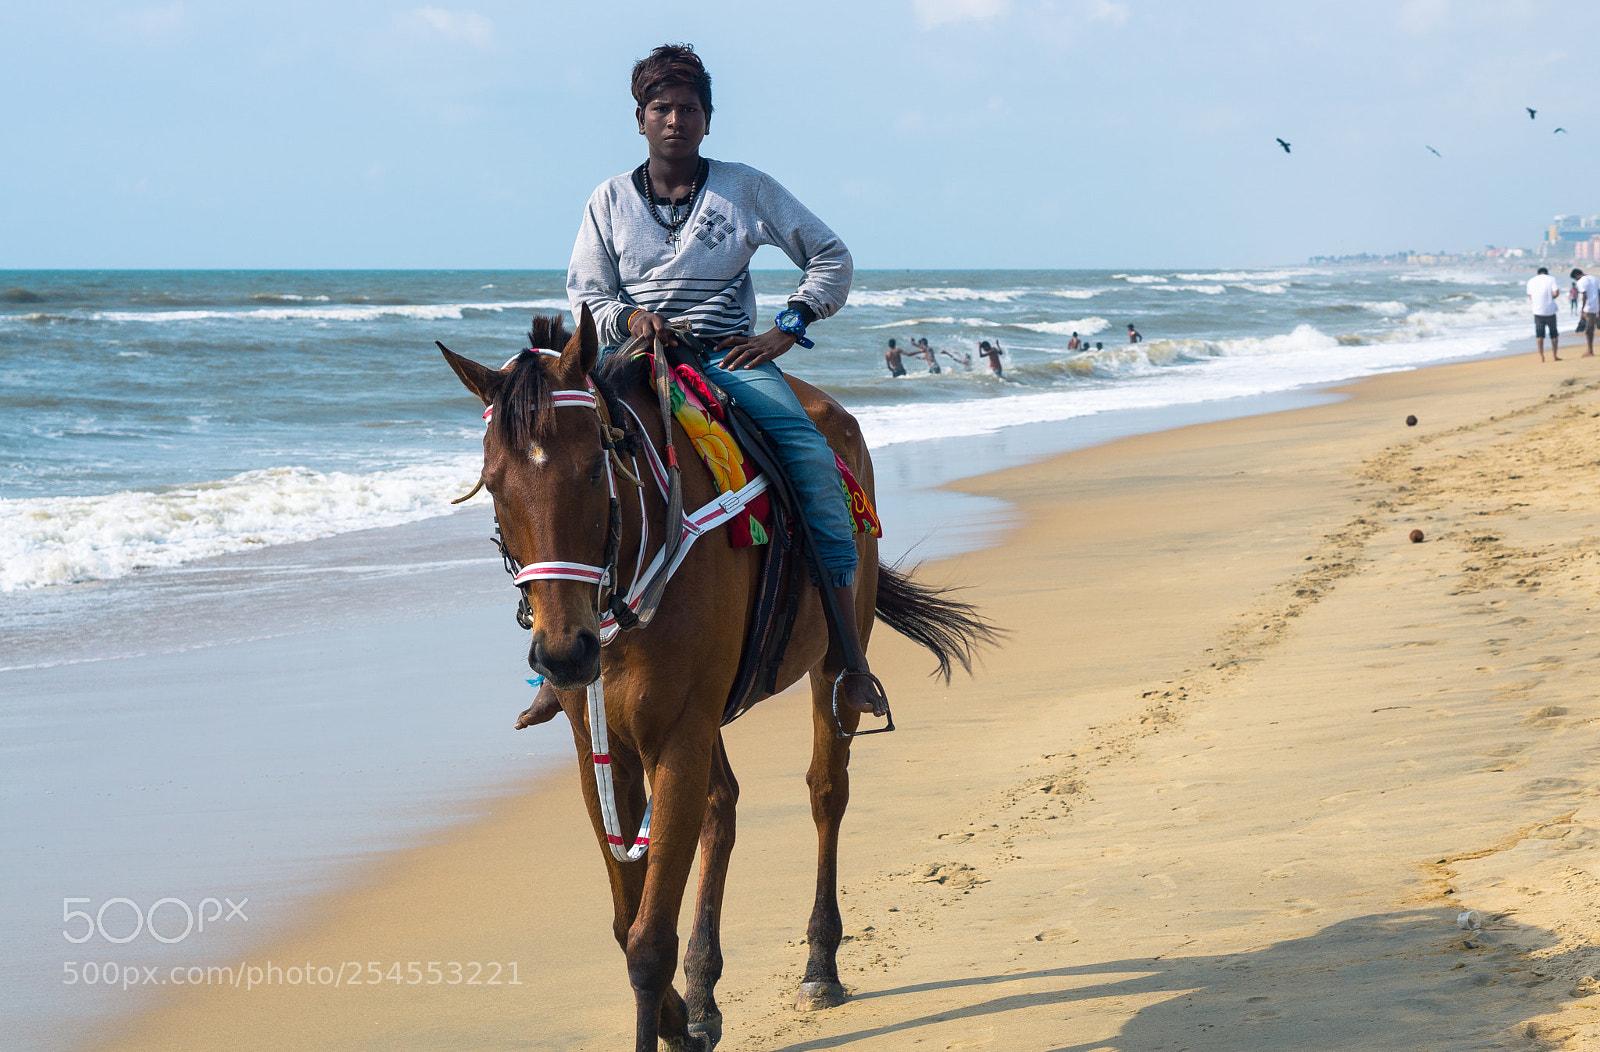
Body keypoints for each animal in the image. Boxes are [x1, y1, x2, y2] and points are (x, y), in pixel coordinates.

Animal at [440, 305, 993, 1051]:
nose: (562, 655)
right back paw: (704, 990)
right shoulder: (605, 747)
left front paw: (670, 1027)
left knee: (826, 793)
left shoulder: (677, 735)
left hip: (826, 666)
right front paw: (685, 1024)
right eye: (495, 485)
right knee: (721, 810)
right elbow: (628, 920)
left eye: (594, 470)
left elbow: (647, 941)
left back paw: (820, 966)